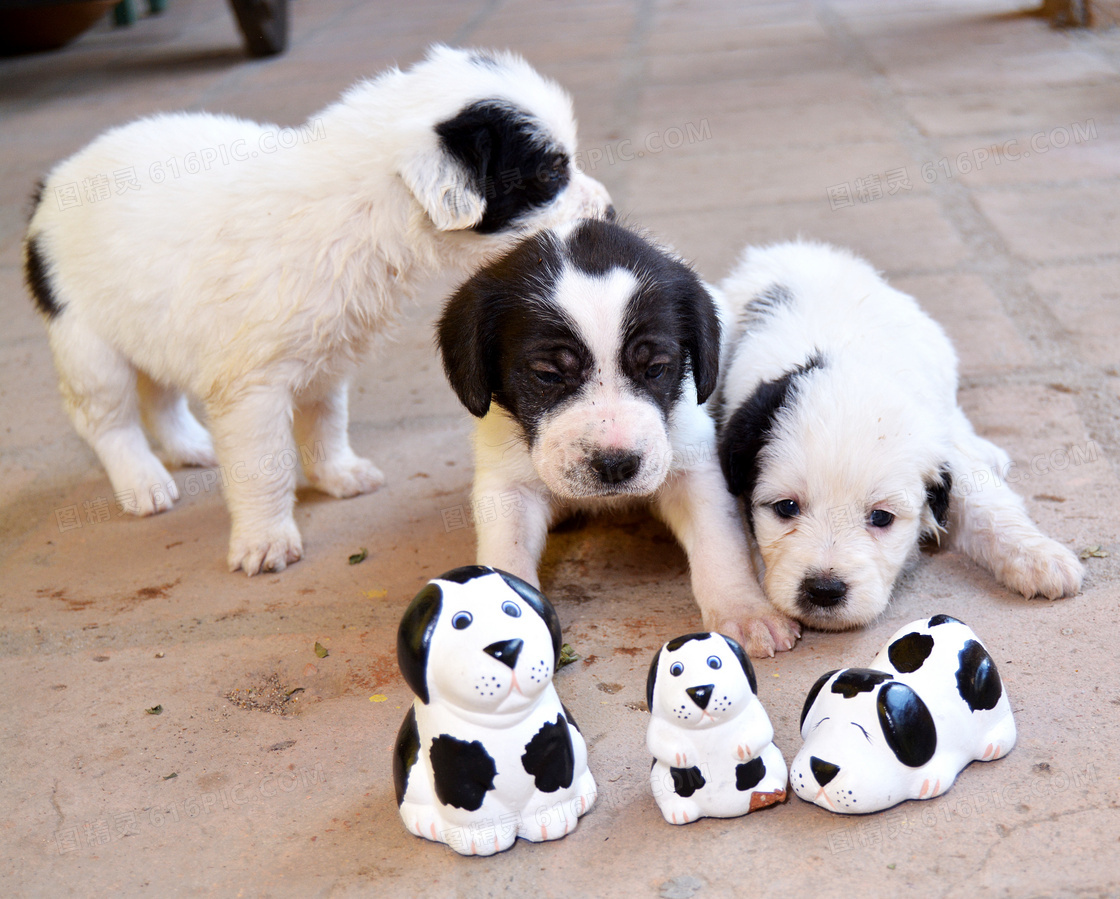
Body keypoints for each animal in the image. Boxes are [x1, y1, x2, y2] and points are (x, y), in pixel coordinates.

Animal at [24, 43, 613, 577]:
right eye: (550, 173)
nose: (607, 210)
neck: (365, 212)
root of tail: (49, 186)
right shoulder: (254, 387)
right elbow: (264, 468)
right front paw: (264, 540)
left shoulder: (327, 351)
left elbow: (326, 419)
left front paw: (338, 475)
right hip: (87, 344)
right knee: (109, 420)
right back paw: (142, 482)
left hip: (148, 321)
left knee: (160, 395)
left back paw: (189, 446)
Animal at [439, 222, 806, 662]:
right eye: (547, 375)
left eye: (656, 369)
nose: (615, 465)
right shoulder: (506, 484)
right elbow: (505, 552)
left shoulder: (692, 466)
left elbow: (720, 545)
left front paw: (745, 610)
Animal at [716, 240, 1084, 631]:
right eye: (786, 507)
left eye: (881, 517)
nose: (824, 590)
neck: (845, 365)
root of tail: (801, 250)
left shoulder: (942, 443)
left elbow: (986, 502)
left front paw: (1039, 556)